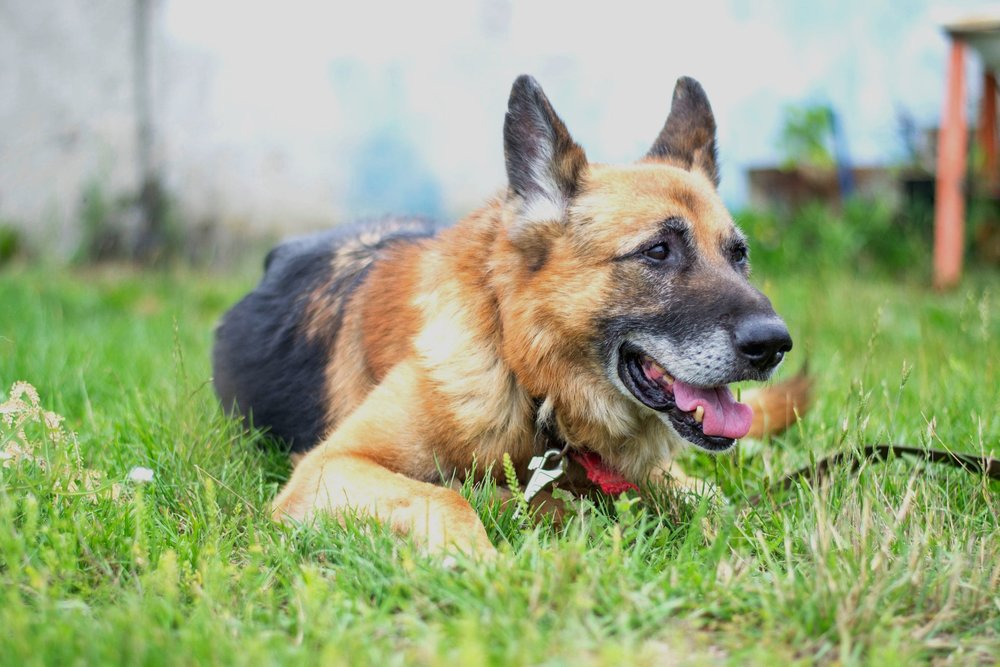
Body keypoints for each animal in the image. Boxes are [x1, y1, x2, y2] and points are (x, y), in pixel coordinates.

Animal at [215, 75, 808, 556]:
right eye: (658, 251)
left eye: (739, 255)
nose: (774, 344)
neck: (528, 378)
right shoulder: (329, 466)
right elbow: (449, 499)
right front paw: (478, 561)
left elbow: (713, 500)